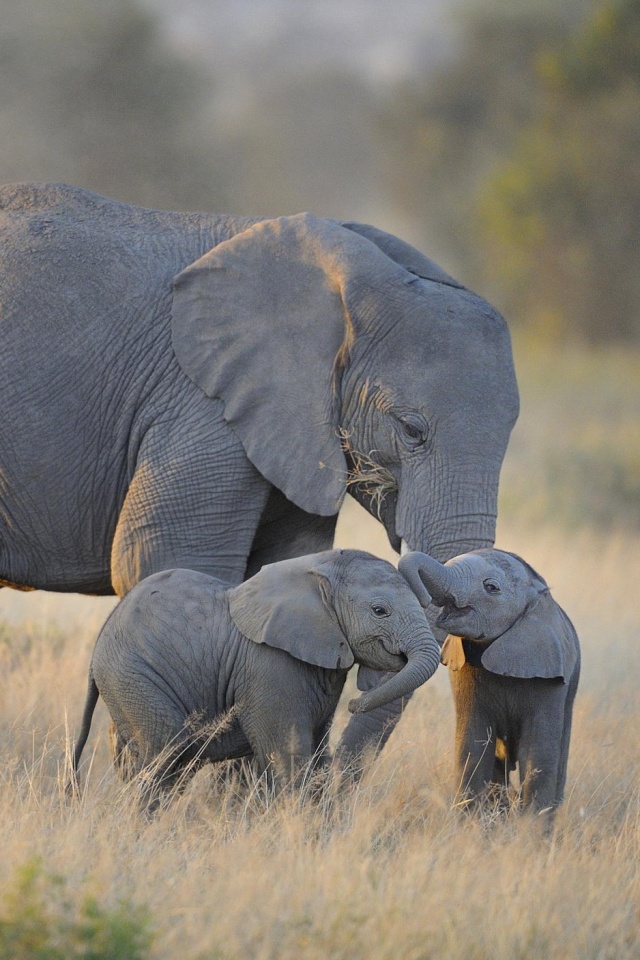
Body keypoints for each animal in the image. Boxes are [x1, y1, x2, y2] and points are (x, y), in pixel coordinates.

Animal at [70, 548, 440, 804]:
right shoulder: (270, 668)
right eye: (380, 611)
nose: (354, 704)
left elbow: (319, 755)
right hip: (134, 677)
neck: (318, 570)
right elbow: (289, 757)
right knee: (166, 754)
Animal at [402, 552, 584, 812]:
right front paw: (469, 820)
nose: (425, 601)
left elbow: (538, 752)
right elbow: (473, 744)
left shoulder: (550, 678)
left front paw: (531, 824)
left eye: (491, 587)